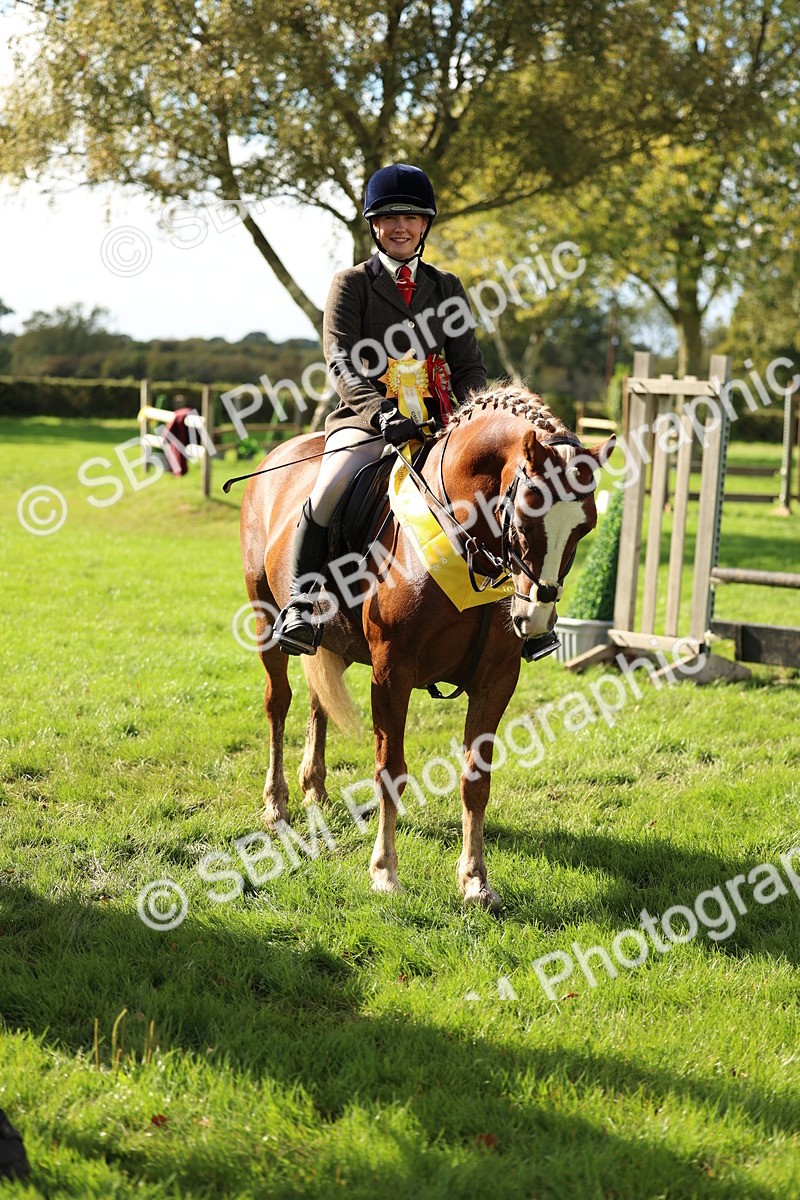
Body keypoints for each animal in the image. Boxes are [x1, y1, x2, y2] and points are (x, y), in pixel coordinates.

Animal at [239, 384, 615, 910]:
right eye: (524, 520)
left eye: (585, 528)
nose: (534, 618)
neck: (469, 542)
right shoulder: (391, 673)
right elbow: (389, 771)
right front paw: (384, 872)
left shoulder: (497, 679)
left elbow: (476, 779)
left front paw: (475, 880)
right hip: (264, 618)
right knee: (279, 702)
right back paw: (277, 805)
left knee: (318, 701)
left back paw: (315, 788)